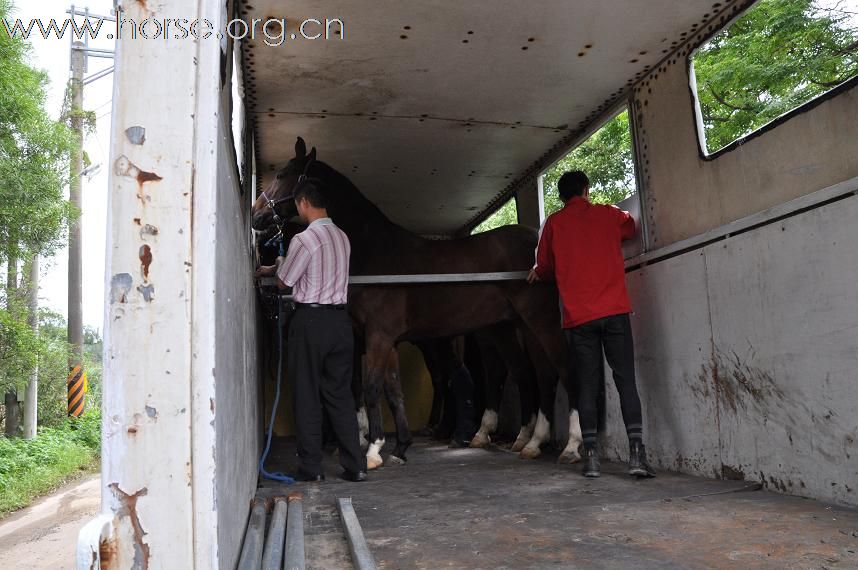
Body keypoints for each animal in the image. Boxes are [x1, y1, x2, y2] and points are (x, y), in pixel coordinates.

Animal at [249, 138, 580, 466]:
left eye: (282, 175)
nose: (256, 215)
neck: (376, 252)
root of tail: (538, 237)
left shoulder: (378, 335)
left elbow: (371, 388)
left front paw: (372, 451)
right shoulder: (387, 340)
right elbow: (393, 390)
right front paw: (399, 448)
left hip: (539, 320)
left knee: (563, 369)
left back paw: (570, 446)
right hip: (508, 327)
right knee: (533, 373)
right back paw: (528, 440)